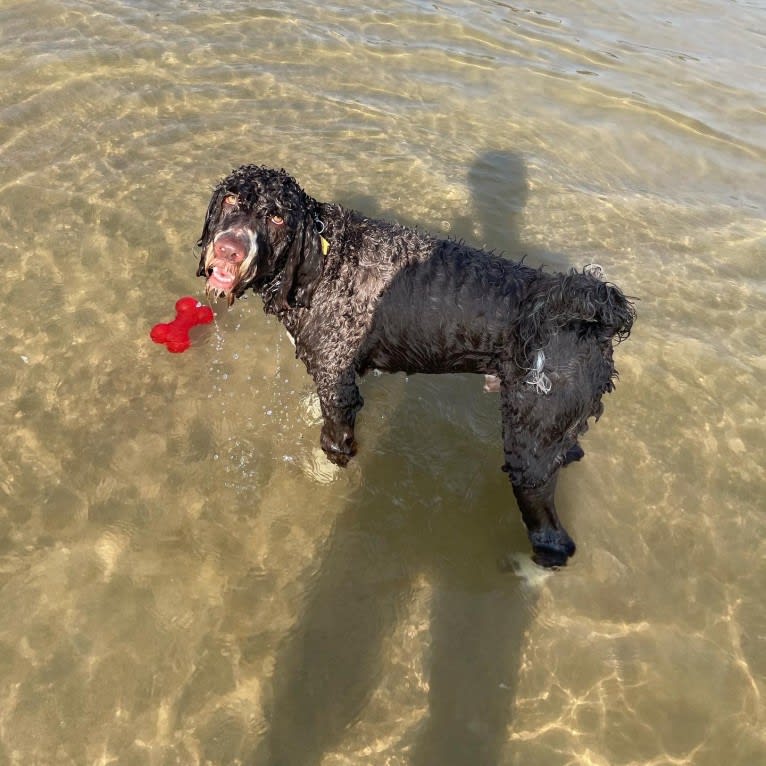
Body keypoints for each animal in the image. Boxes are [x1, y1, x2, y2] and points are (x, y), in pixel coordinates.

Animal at [198, 165, 636, 568]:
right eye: (231, 199)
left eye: (277, 217)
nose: (229, 250)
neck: (321, 264)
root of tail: (595, 318)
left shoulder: (339, 386)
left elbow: (333, 445)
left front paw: (319, 475)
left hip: (530, 443)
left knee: (553, 536)